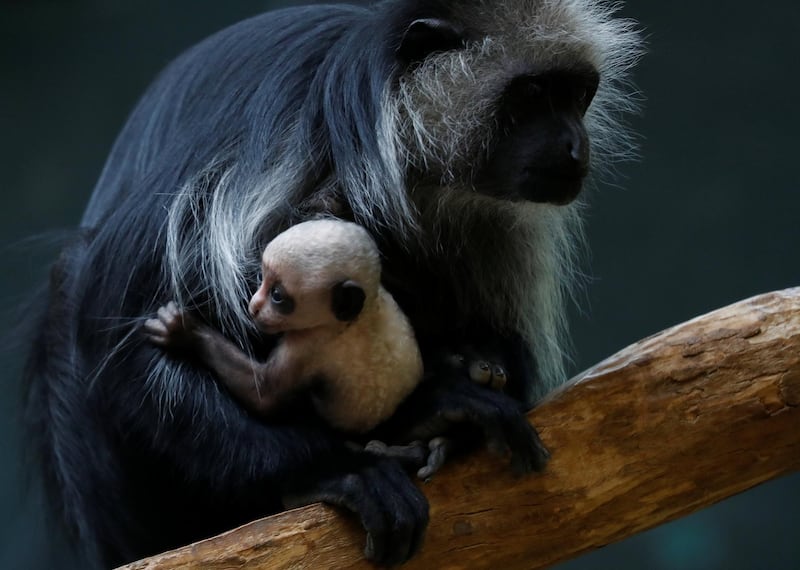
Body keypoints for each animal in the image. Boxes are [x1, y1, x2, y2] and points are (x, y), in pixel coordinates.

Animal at [148, 219, 428, 430]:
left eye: (277, 296)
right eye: (262, 278)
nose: (253, 307)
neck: (359, 317)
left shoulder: (309, 345)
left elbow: (264, 394)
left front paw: (183, 331)